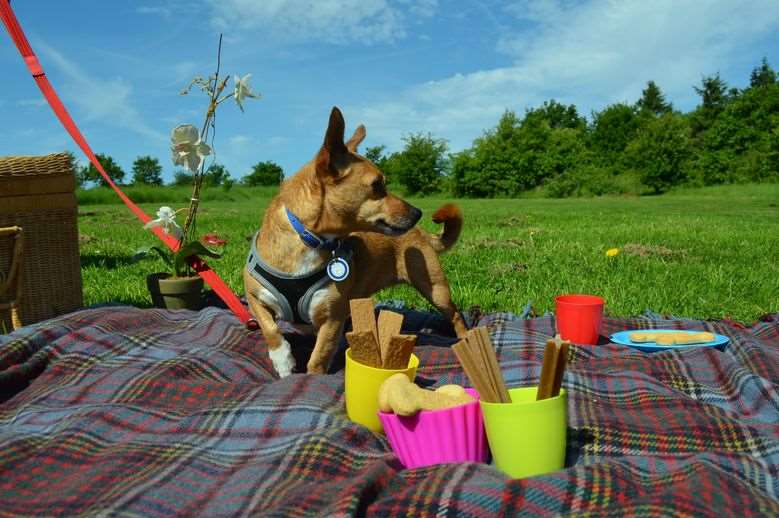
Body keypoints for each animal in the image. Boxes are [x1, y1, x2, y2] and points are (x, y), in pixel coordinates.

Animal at [244, 107, 466, 376]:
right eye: (377, 185)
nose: (417, 212)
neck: (309, 239)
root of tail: (422, 233)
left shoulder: (332, 318)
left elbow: (318, 359)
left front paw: (310, 377)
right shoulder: (254, 297)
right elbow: (269, 328)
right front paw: (282, 360)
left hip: (436, 289)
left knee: (456, 315)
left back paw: (466, 338)